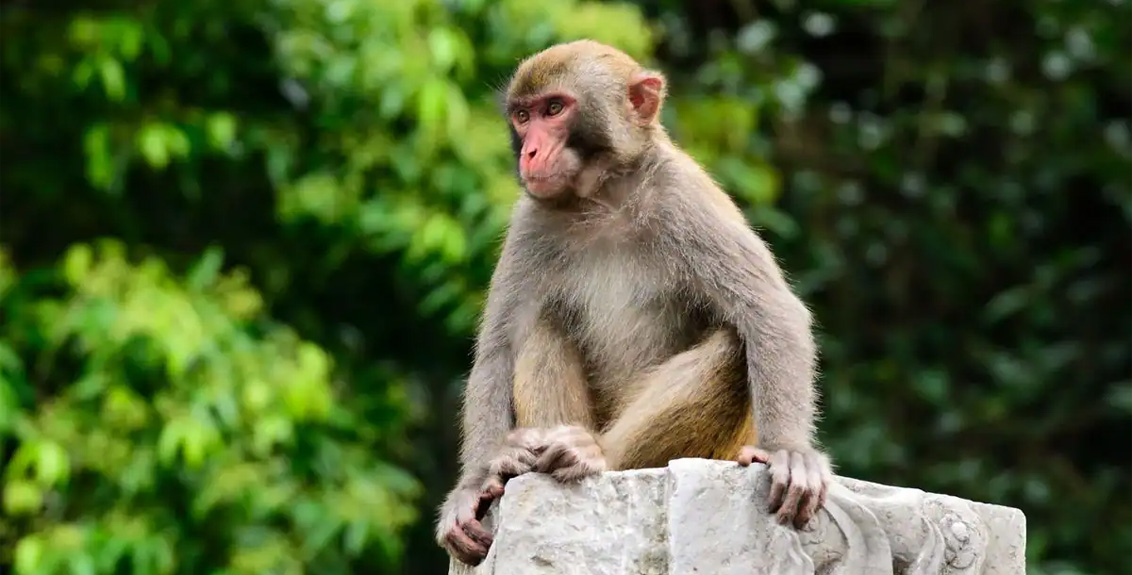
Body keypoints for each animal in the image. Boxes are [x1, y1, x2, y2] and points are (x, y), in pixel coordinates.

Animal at [436, 40, 833, 566]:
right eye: (523, 116)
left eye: (554, 109)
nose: (531, 151)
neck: (603, 196)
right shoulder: (531, 222)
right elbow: (498, 351)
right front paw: (476, 483)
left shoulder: (683, 198)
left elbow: (769, 314)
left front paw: (789, 450)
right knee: (540, 328)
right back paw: (530, 456)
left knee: (732, 345)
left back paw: (595, 454)